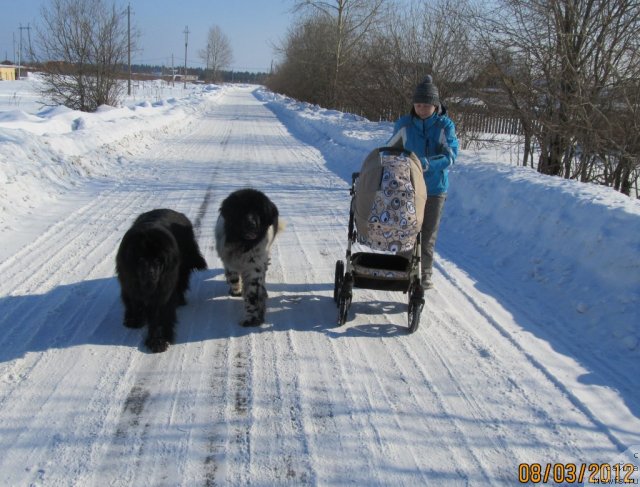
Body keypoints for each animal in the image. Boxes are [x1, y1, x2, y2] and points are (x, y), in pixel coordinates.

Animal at [114, 208, 205, 352]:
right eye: (141, 259)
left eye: (158, 260)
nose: (150, 272)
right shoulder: (129, 283)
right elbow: (134, 302)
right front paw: (135, 320)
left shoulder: (162, 293)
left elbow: (159, 317)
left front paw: (157, 341)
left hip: (183, 266)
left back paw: (180, 300)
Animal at [215, 189, 282, 326]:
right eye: (241, 210)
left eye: (259, 211)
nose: (251, 224)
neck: (243, 244)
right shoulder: (229, 261)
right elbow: (233, 278)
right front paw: (236, 290)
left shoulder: (254, 267)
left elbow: (252, 294)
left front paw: (251, 318)